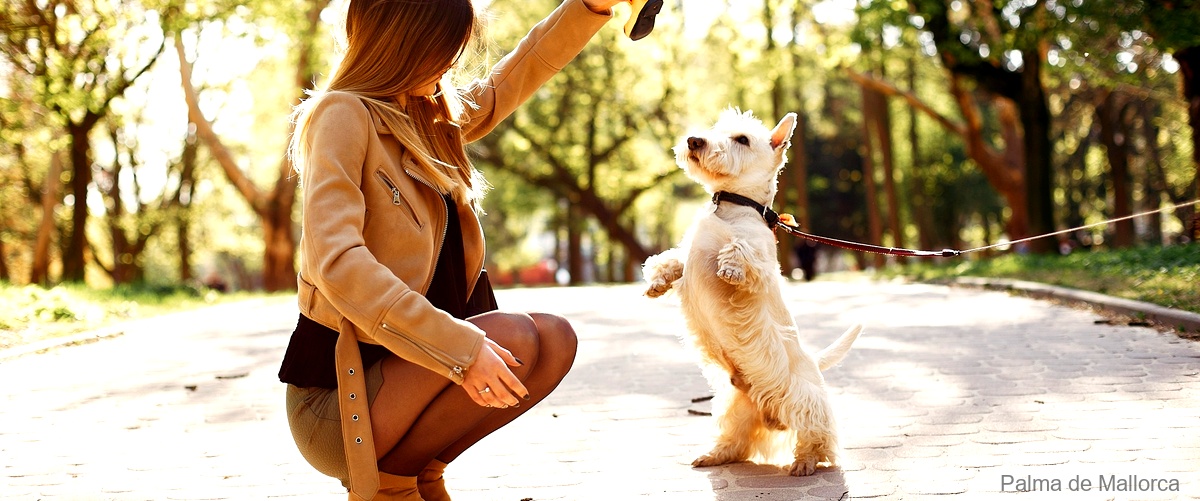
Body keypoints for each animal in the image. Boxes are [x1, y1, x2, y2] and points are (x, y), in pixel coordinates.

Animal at [648, 107, 864, 474]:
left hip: (803, 398)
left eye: (742, 139)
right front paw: (656, 282)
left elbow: (741, 250)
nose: (694, 140)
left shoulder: (762, 263)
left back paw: (805, 462)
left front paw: (729, 267)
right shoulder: (687, 257)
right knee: (738, 439)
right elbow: (670, 259)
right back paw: (713, 454)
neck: (731, 205)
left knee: (818, 434)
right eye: (716, 129)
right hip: (733, 405)